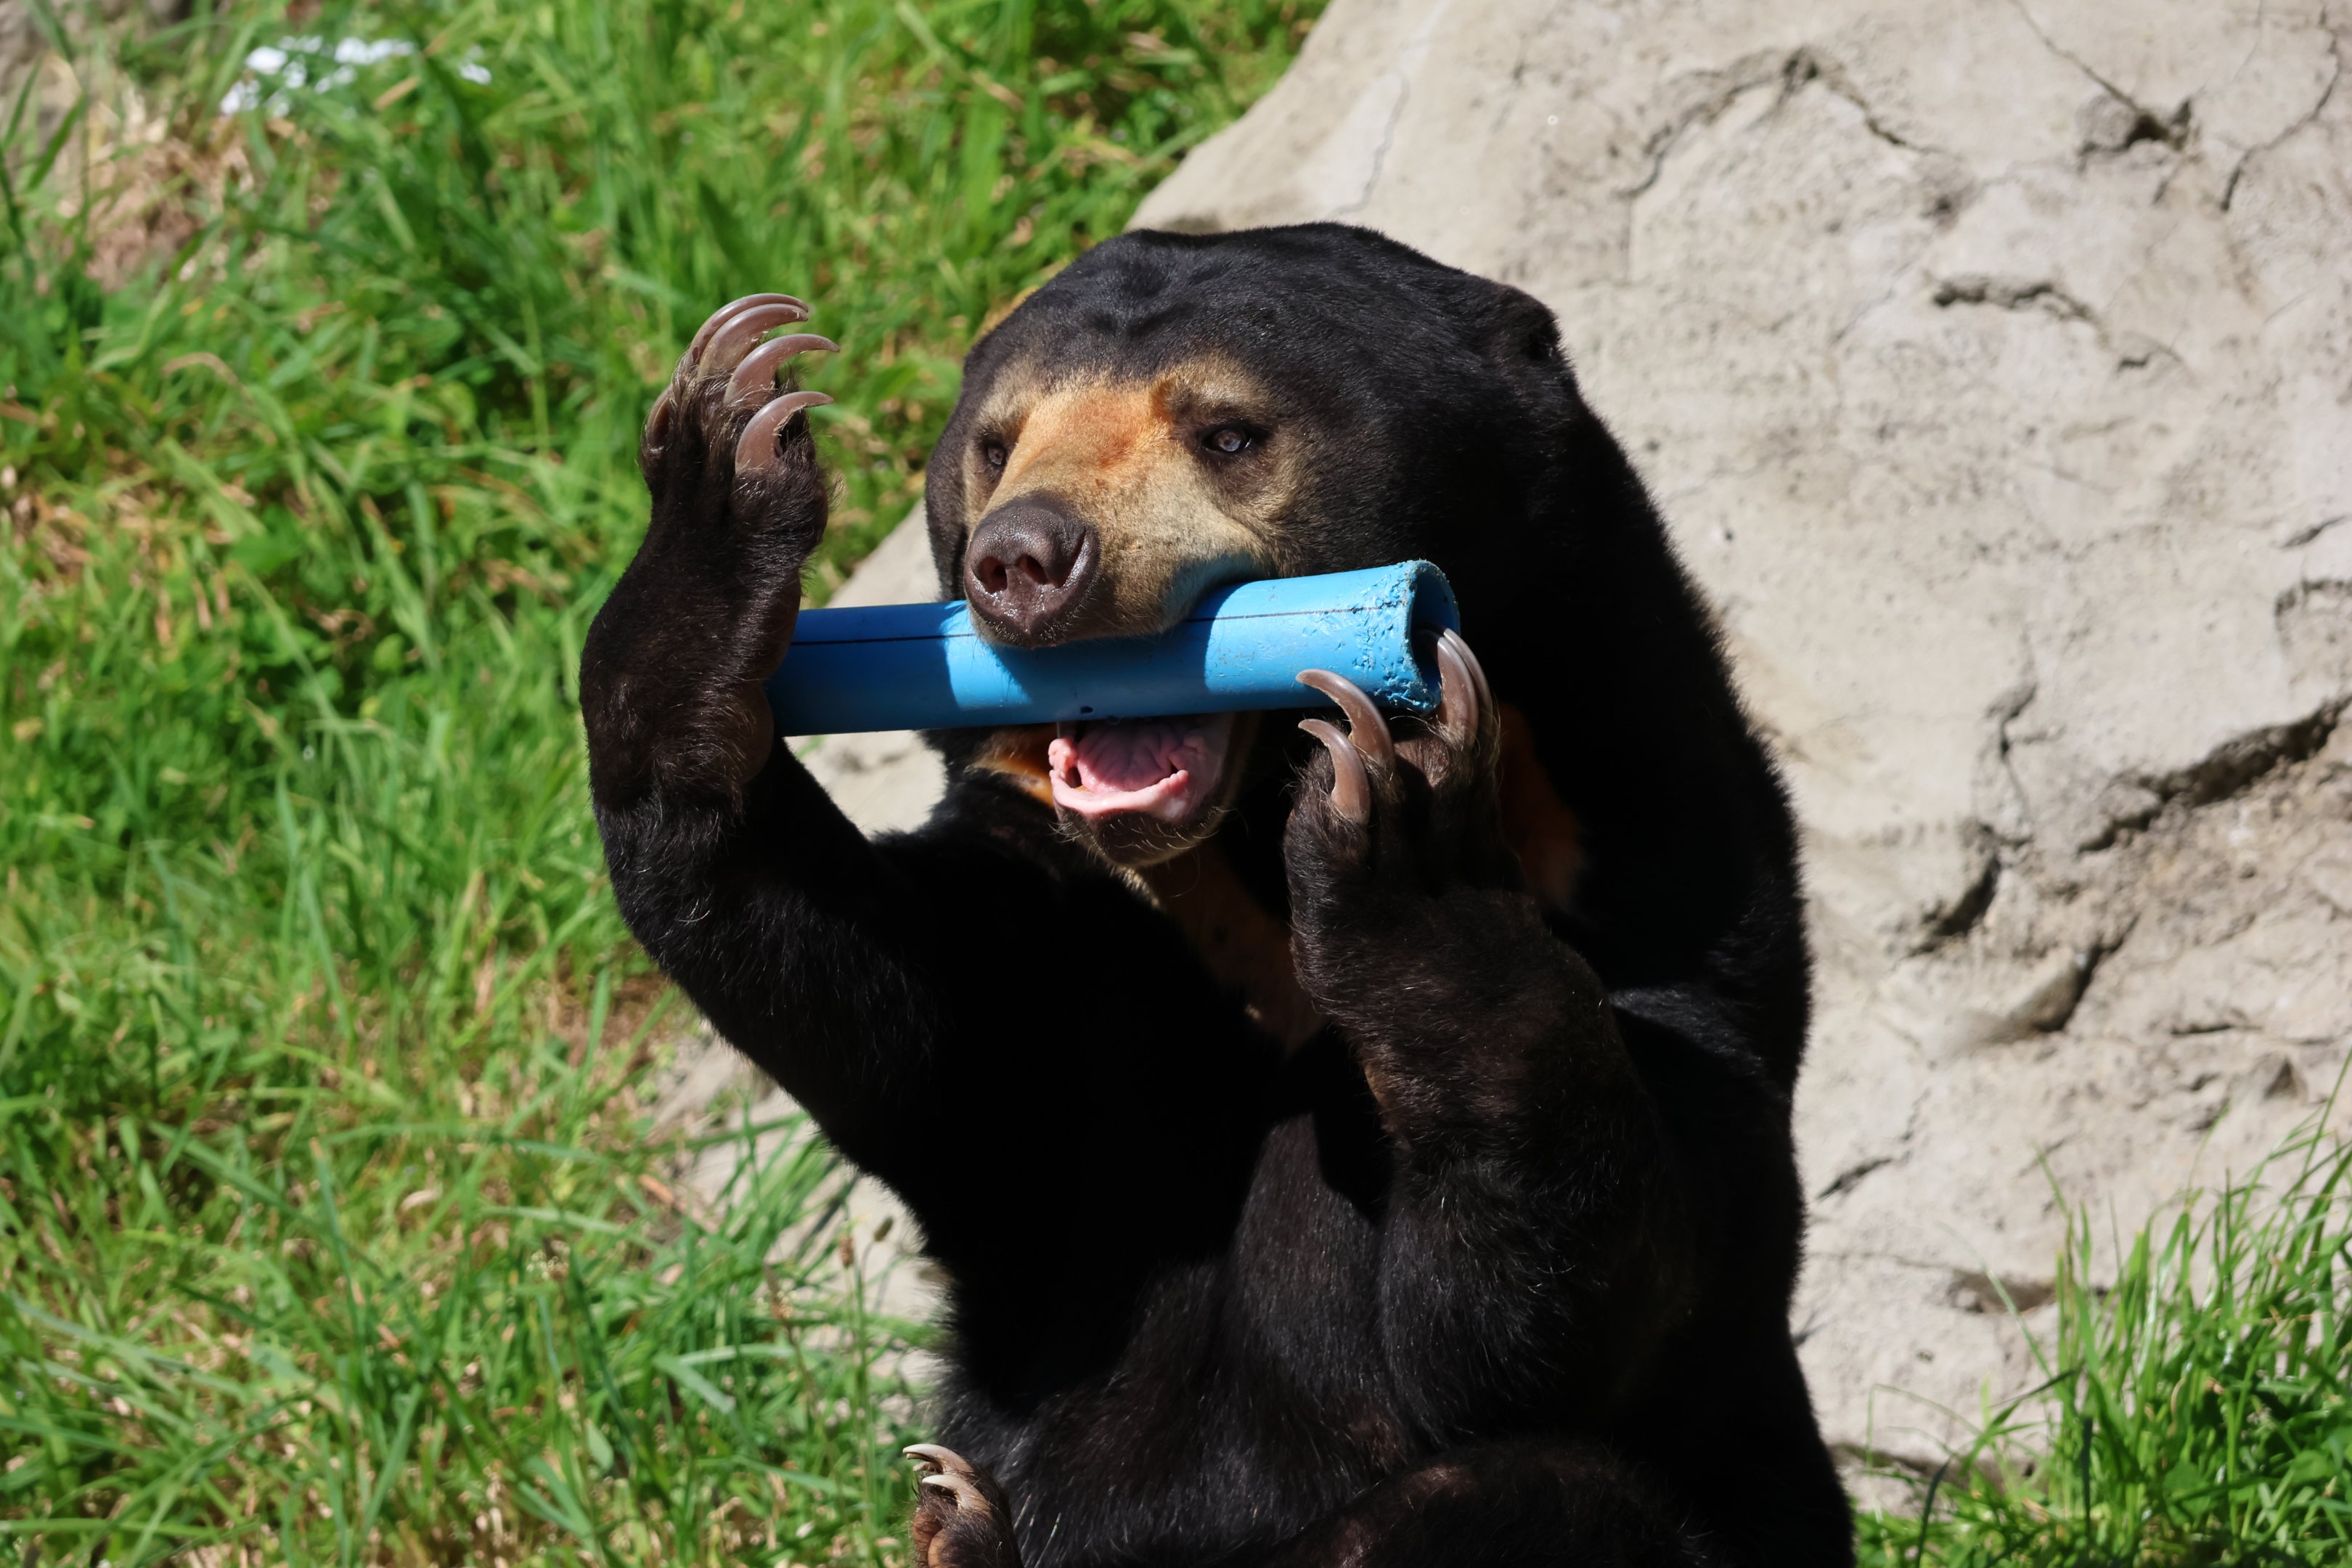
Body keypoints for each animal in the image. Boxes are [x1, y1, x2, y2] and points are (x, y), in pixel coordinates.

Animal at [579, 223, 1853, 1567]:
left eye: (1228, 433)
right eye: (996, 445)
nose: (1022, 563)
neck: (1236, 882)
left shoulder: (1653, 866)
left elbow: (1564, 1323)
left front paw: (1408, 834)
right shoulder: (1075, 918)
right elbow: (898, 1011)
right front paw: (728, 451)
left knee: (1528, 1492)